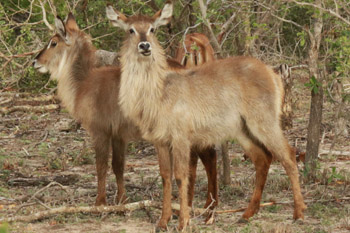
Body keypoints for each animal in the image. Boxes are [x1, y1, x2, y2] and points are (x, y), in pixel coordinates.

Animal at [31, 13, 217, 211]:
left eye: (53, 42)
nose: (35, 61)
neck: (84, 82)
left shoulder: (100, 131)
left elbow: (101, 165)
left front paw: (100, 202)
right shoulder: (118, 134)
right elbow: (118, 165)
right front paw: (122, 200)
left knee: (204, 157)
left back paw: (204, 205)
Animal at [106, 1, 306, 229]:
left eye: (152, 29)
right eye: (131, 30)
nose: (145, 46)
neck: (158, 91)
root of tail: (271, 73)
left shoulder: (181, 138)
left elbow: (181, 176)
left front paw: (183, 222)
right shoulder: (160, 140)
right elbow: (165, 176)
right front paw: (163, 221)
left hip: (264, 122)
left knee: (288, 155)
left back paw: (299, 213)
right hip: (243, 129)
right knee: (263, 158)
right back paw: (247, 214)